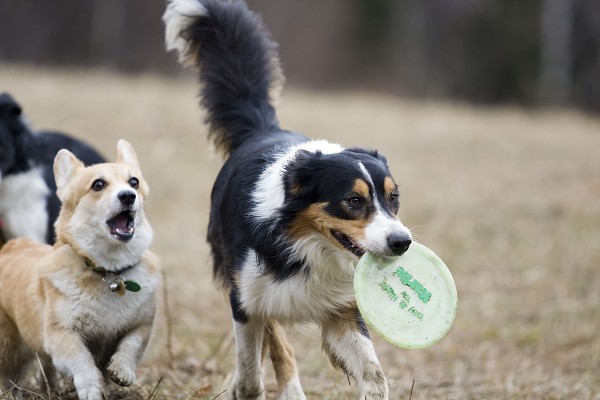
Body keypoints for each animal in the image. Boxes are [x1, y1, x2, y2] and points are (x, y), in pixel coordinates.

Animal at [0, 139, 159, 398]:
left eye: (134, 182)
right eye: (98, 184)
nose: (128, 196)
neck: (109, 271)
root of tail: (13, 243)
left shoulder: (141, 326)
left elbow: (130, 346)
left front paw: (121, 370)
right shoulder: (61, 335)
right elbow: (82, 361)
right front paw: (91, 389)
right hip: (10, 348)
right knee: (8, 374)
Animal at [164, 1, 412, 398]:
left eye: (394, 198)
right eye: (353, 201)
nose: (402, 242)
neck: (307, 246)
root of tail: (264, 129)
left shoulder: (341, 310)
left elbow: (374, 376)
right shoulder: (246, 300)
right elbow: (251, 373)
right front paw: (241, 388)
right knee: (277, 344)